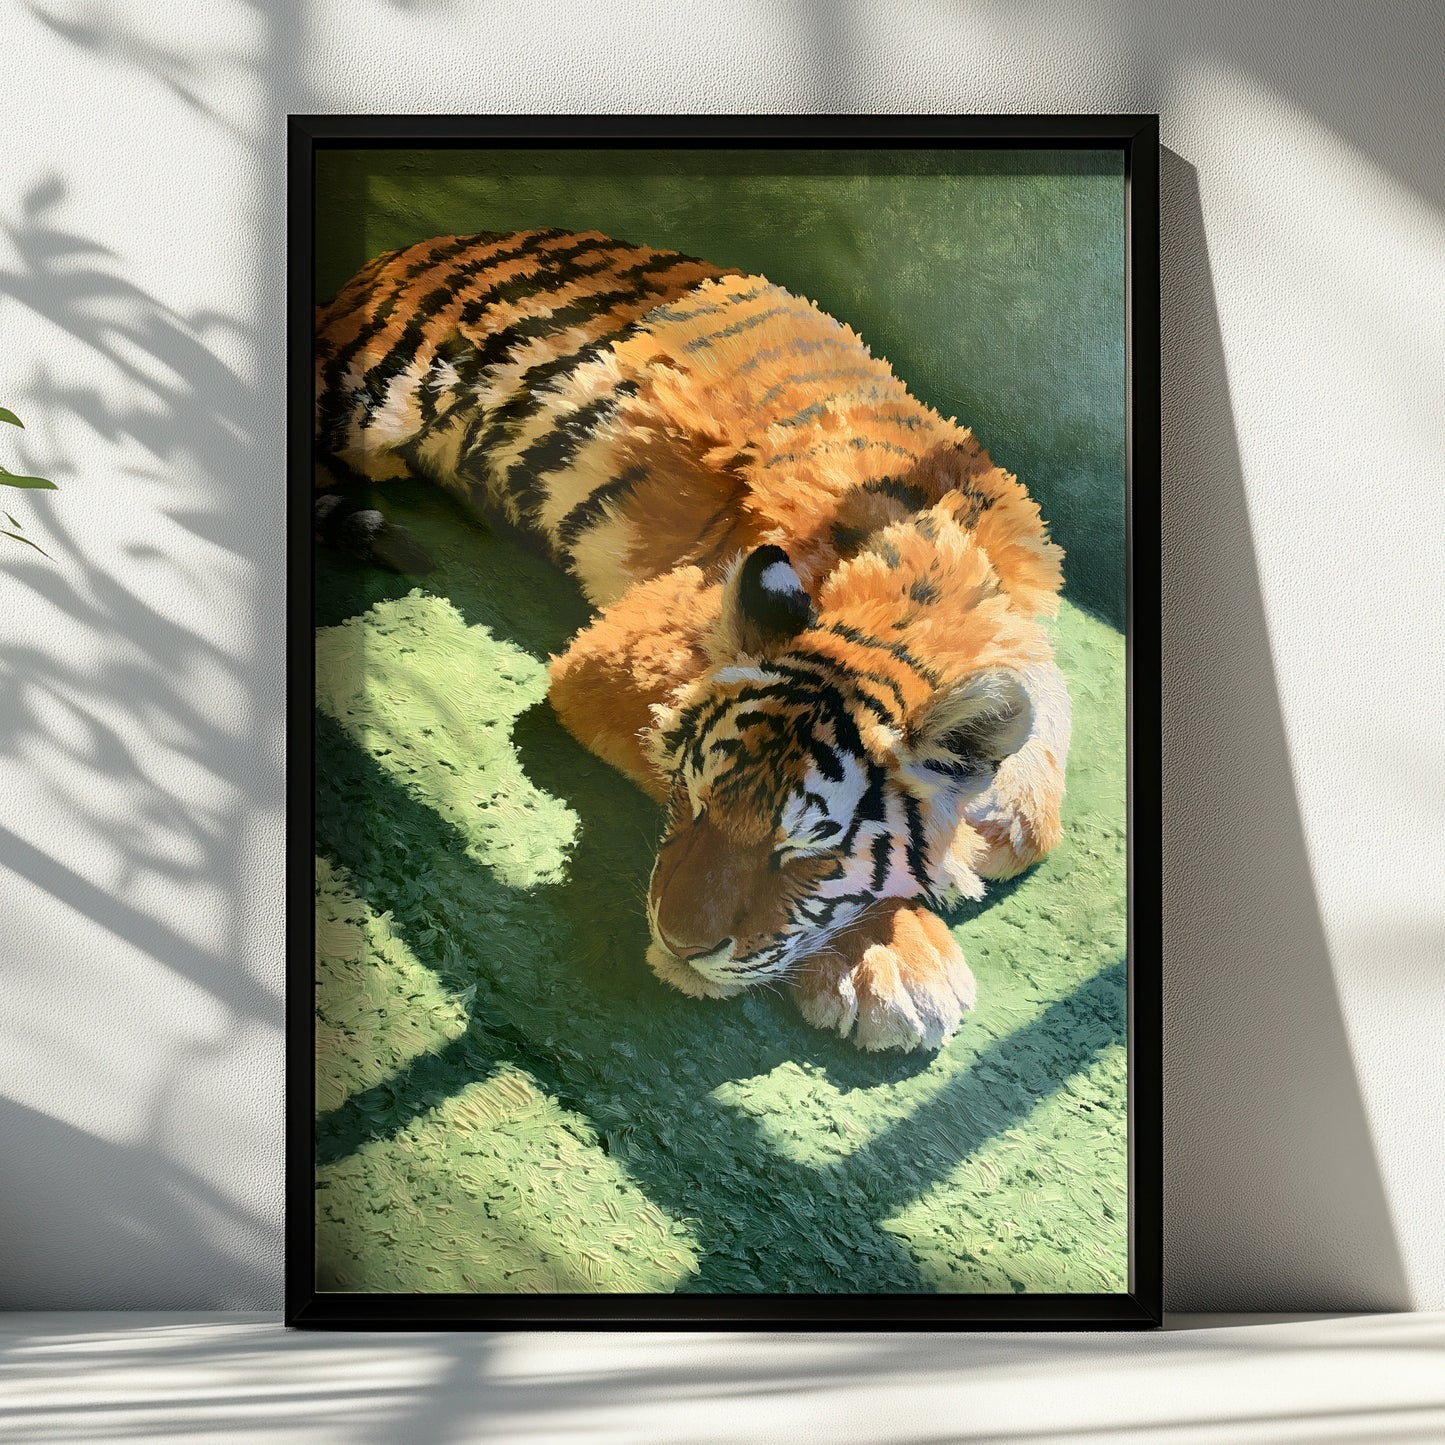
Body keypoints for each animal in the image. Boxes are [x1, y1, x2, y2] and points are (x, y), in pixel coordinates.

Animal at [314, 226, 1071, 1052]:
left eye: (807, 856)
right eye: (693, 801)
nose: (679, 946)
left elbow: (1031, 813)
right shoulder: (617, 655)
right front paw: (896, 956)